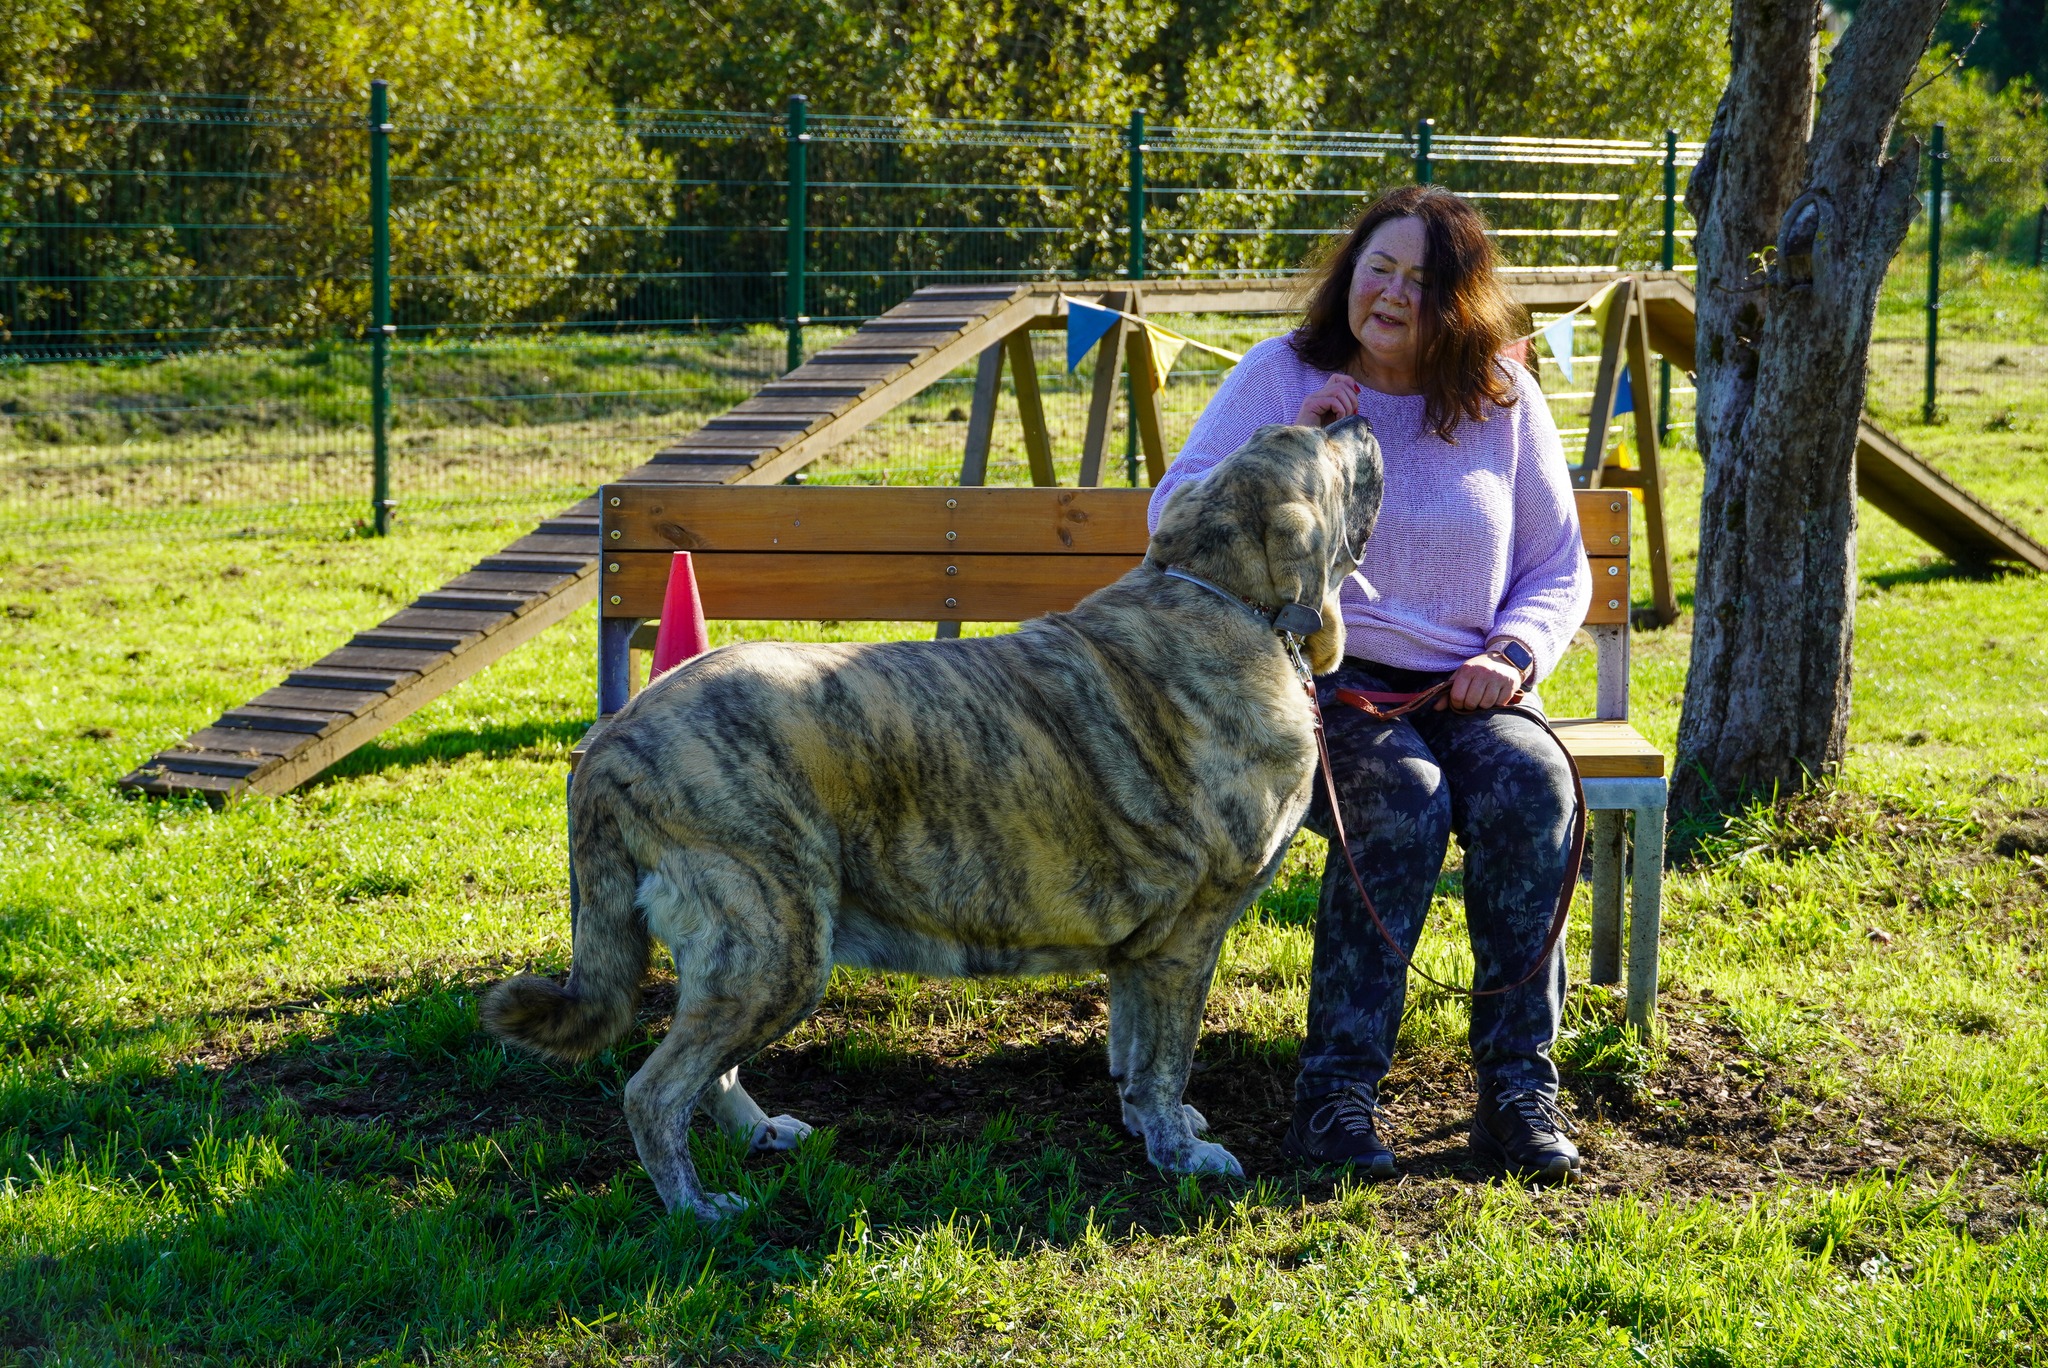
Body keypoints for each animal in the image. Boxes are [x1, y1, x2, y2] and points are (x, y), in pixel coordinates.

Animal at [483, 419, 1376, 1220]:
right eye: (1322, 442)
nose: (1360, 417)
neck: (1228, 597)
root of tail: (613, 739)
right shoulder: (1184, 939)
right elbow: (1165, 1055)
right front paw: (1181, 1151)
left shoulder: (1142, 951)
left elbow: (1130, 1047)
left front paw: (1145, 1122)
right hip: (774, 941)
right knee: (655, 1090)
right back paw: (697, 1207)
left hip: (754, 954)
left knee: (707, 1072)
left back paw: (757, 1134)